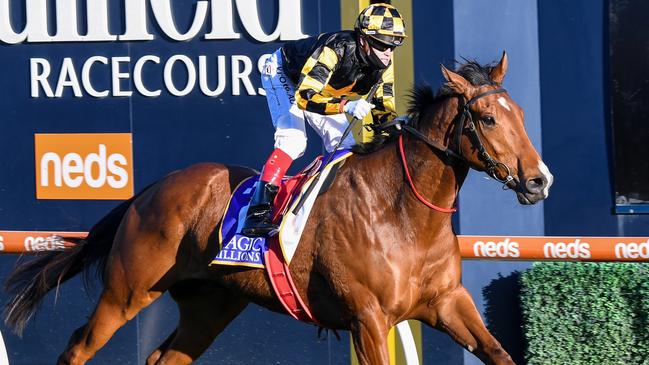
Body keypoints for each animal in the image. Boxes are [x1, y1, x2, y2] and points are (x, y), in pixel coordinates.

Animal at [5, 52, 552, 364]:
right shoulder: (368, 319)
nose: (538, 180)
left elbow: (499, 354)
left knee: (164, 358)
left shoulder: (447, 303)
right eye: (487, 117)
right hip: (128, 290)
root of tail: (151, 189)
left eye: (522, 113)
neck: (401, 215)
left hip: (210, 306)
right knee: (77, 348)